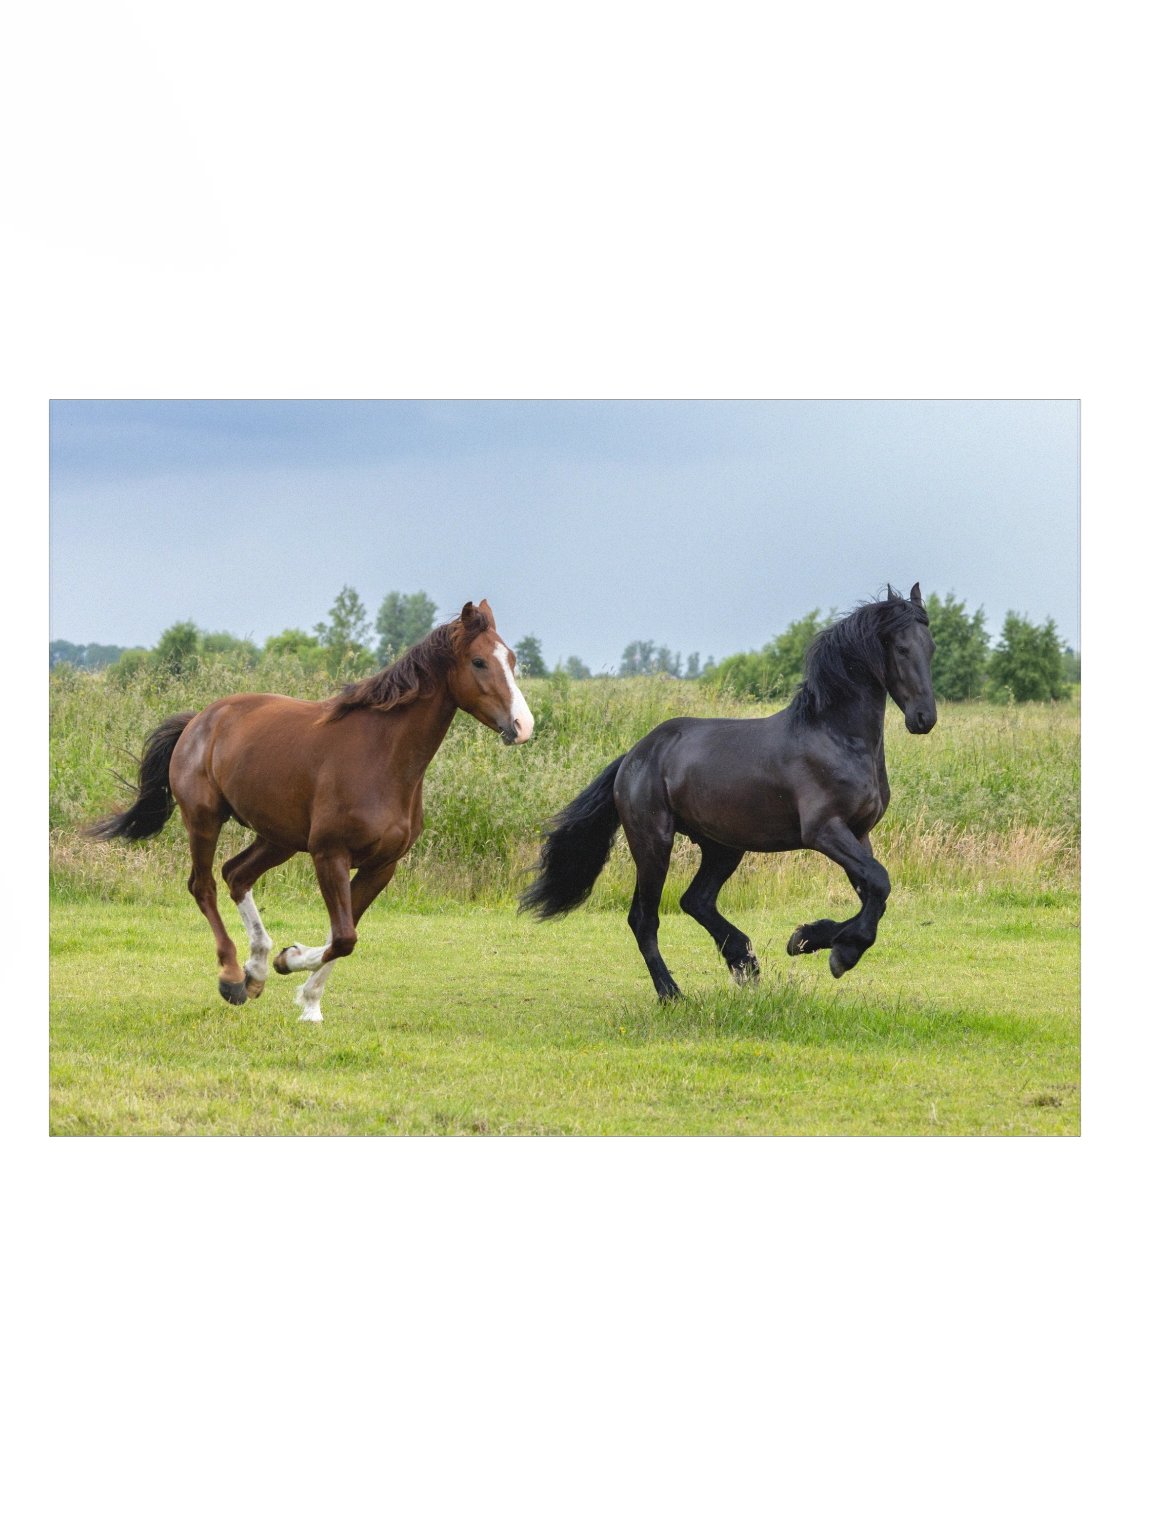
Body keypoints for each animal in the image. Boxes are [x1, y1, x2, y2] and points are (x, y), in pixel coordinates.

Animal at [88, 601, 534, 1022]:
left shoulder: (381, 866)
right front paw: (291, 962)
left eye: (512, 659)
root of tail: (200, 719)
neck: (382, 758)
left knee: (236, 875)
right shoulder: (329, 855)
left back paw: (256, 970)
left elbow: (345, 934)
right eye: (479, 661)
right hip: (204, 819)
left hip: (278, 838)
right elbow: (345, 936)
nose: (523, 726)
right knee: (204, 886)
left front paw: (307, 1000)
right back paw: (233, 977)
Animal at [520, 584, 936, 1000]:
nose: (924, 718)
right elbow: (879, 882)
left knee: (696, 900)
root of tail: (635, 755)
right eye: (901, 649)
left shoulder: (859, 833)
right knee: (644, 918)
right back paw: (672, 993)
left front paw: (808, 939)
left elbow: (875, 893)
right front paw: (839, 953)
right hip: (654, 843)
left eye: (930, 647)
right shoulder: (825, 831)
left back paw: (743, 961)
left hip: (723, 847)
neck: (836, 738)